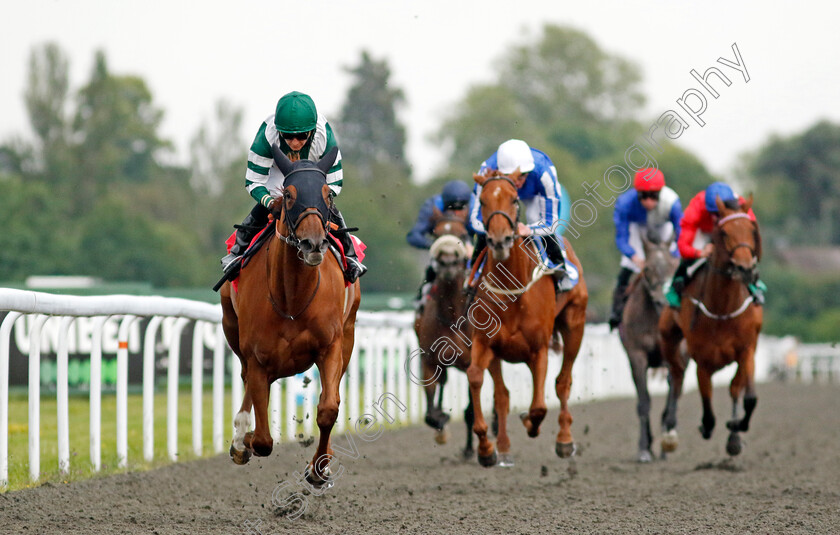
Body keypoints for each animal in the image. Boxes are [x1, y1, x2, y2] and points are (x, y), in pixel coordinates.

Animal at [220, 146, 360, 486]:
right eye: (289, 194)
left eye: (327, 193)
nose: (313, 243)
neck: (292, 298)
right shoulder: (257, 356)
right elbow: (263, 441)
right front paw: (245, 440)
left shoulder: (331, 346)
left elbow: (329, 409)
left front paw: (319, 469)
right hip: (230, 326)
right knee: (246, 377)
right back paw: (240, 438)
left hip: (348, 335)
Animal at [470, 170, 588, 466]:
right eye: (483, 201)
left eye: (514, 199)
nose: (499, 240)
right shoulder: (484, 342)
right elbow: (476, 377)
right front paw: (486, 448)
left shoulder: (539, 349)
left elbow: (539, 407)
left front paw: (529, 423)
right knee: (501, 395)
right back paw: (503, 448)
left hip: (574, 326)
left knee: (563, 382)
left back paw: (565, 440)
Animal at [612, 232, 684, 462]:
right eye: (647, 269)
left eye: (673, 266)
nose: (663, 301)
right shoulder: (637, 356)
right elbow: (644, 402)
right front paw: (644, 448)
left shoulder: (674, 356)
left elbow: (671, 400)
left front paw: (668, 441)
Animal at [660, 197, 764, 456]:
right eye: (724, 232)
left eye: (752, 230)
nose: (745, 269)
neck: (722, 310)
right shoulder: (703, 360)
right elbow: (708, 411)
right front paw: (706, 428)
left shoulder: (747, 350)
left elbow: (748, 397)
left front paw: (736, 428)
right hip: (668, 336)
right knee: (676, 376)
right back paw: (669, 430)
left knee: (734, 388)